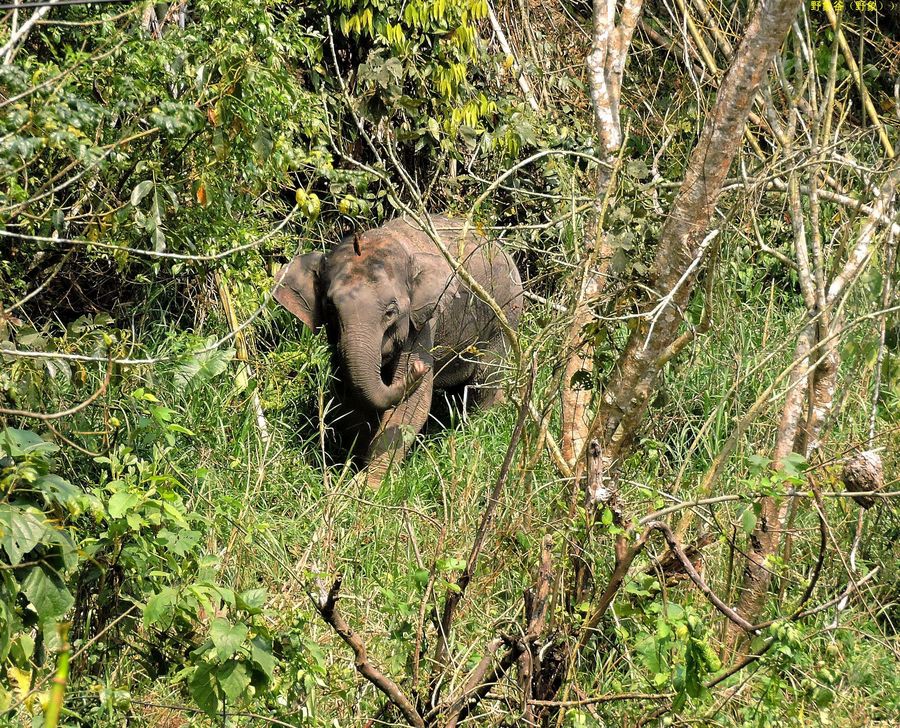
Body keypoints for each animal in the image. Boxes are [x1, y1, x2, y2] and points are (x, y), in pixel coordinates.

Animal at [278, 212, 524, 484]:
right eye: (330, 308)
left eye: (390, 312)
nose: (418, 370)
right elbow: (349, 396)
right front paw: (354, 468)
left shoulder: (424, 322)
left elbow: (412, 406)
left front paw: (368, 485)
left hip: (504, 317)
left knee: (483, 380)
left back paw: (476, 430)